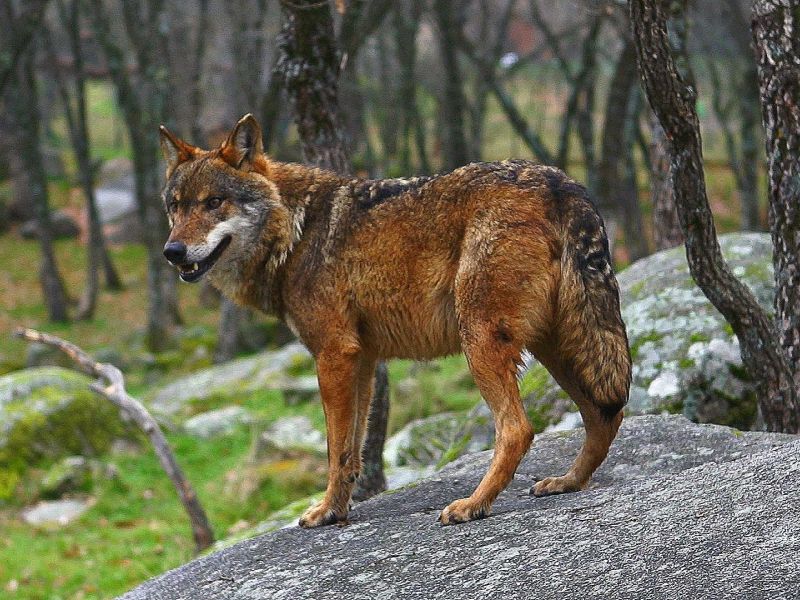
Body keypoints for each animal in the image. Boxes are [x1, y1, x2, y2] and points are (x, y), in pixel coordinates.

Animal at [159, 114, 631, 527]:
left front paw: (324, 511)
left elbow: (334, 450)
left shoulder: (333, 355)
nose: (172, 252)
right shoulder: (362, 361)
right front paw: (337, 512)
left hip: (481, 341)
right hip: (554, 345)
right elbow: (352, 452)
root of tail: (559, 181)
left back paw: (473, 505)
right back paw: (568, 482)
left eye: (214, 202)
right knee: (604, 414)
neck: (295, 231)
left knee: (518, 429)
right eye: (175, 207)